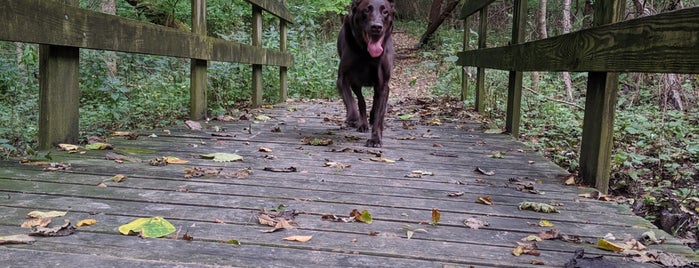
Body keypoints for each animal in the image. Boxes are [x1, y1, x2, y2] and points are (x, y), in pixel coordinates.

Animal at [338, 0, 394, 147]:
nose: (376, 27)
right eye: (366, 10)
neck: (366, 54)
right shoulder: (344, 78)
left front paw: (375, 139)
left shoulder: (382, 85)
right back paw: (361, 123)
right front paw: (353, 117)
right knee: (361, 101)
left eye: (385, 12)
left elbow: (380, 113)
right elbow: (353, 100)